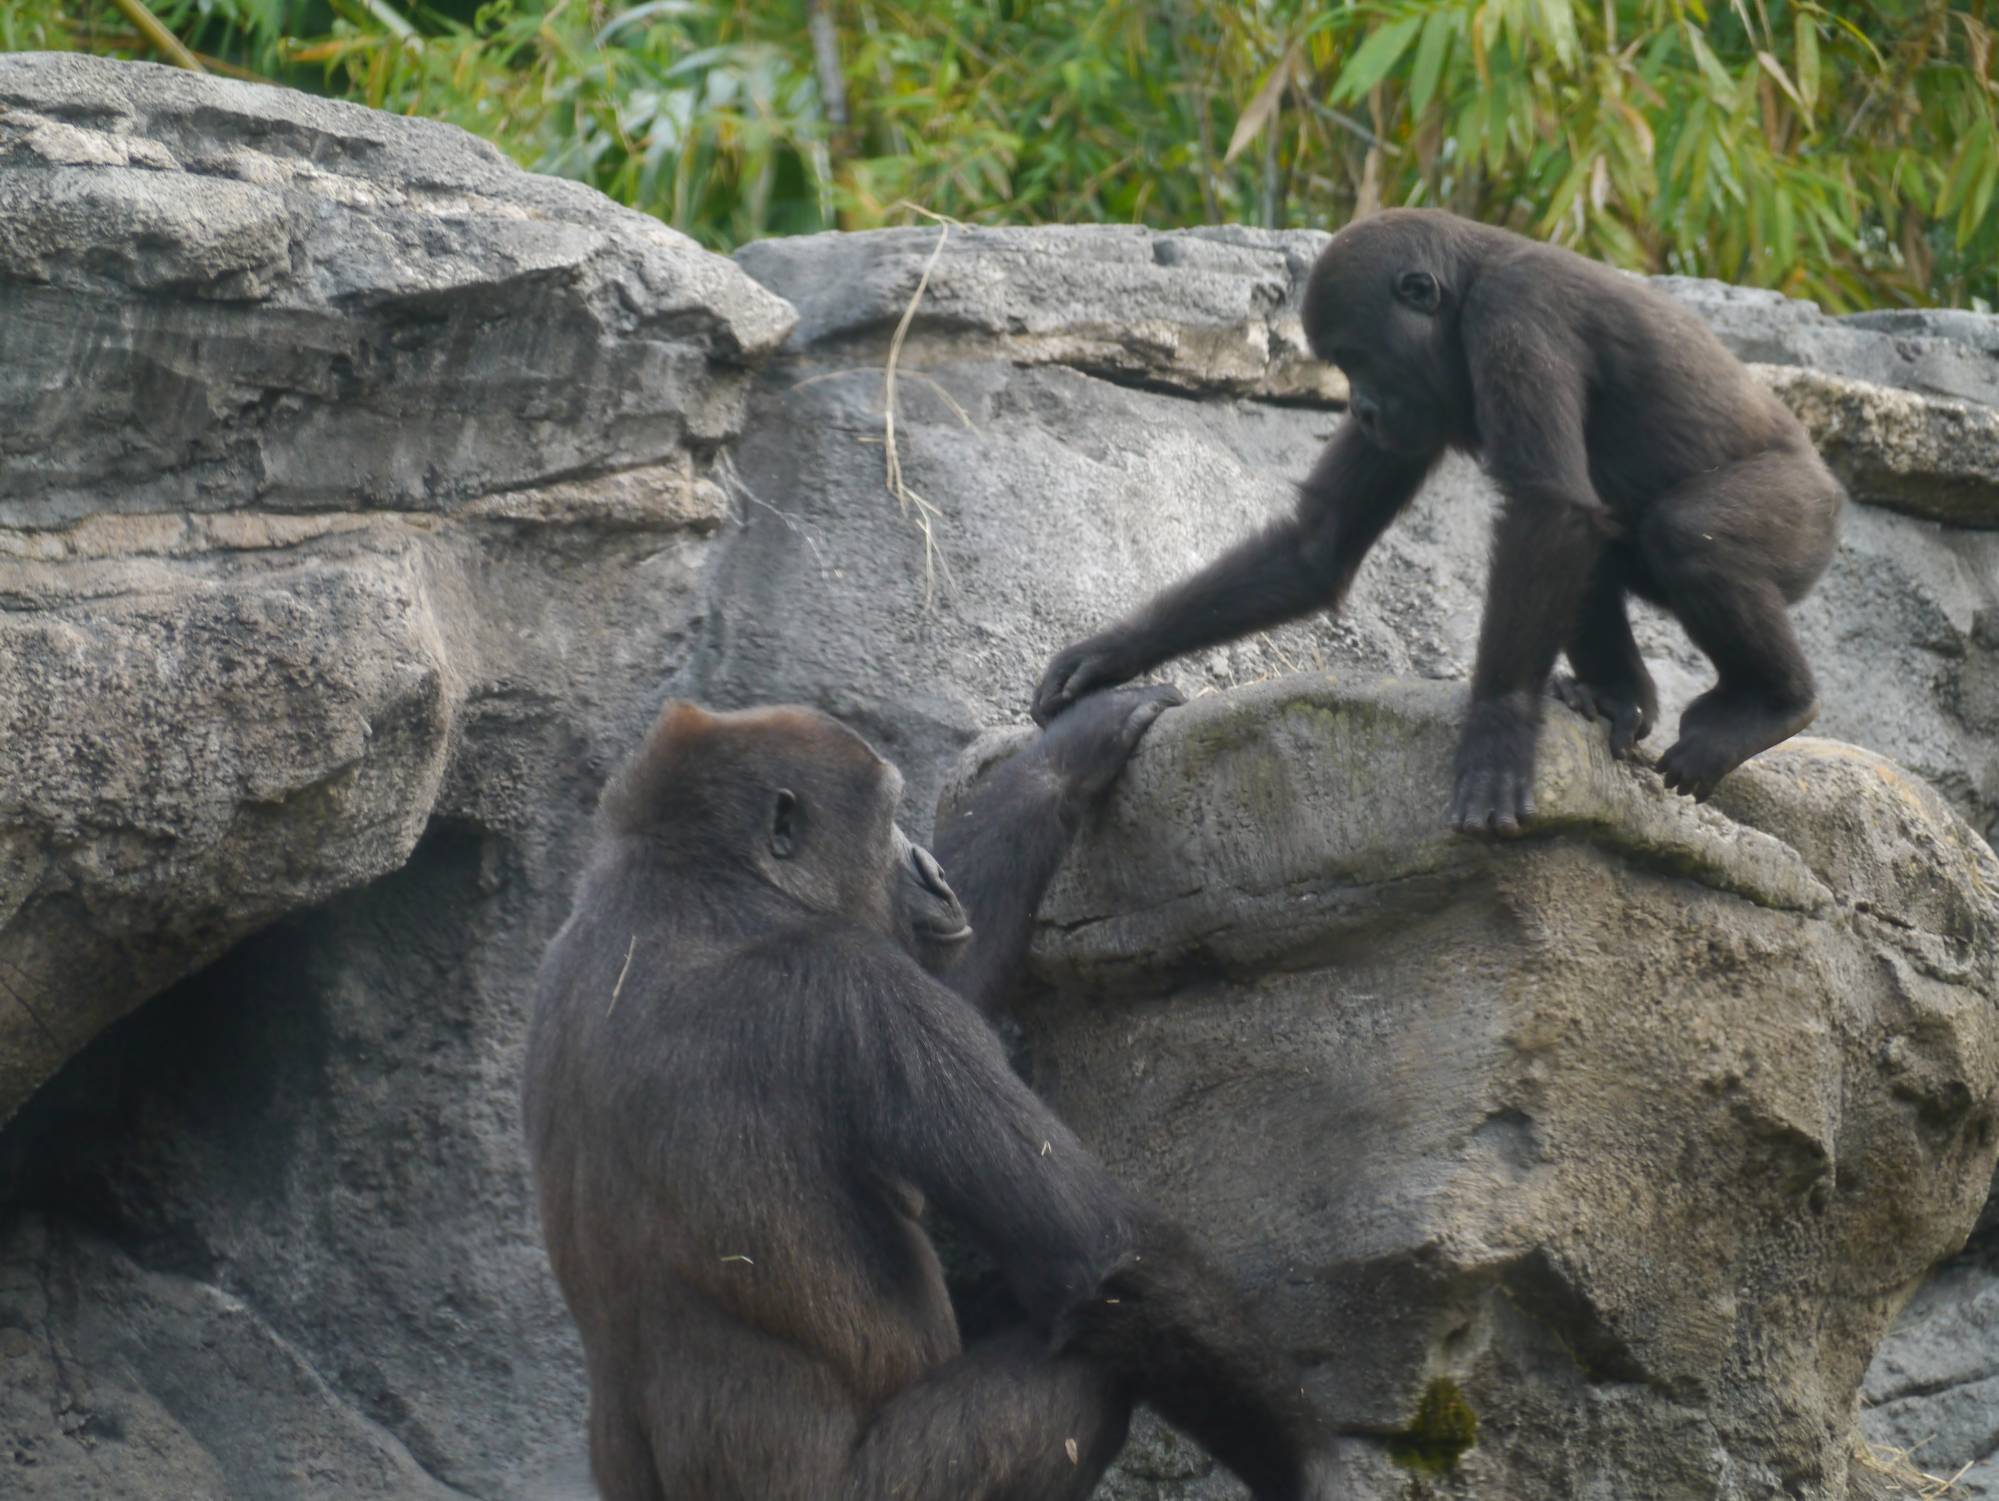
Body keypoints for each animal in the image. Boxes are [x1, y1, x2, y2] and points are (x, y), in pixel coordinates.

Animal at [519, 691, 1327, 1501]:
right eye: (887, 819)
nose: (931, 869)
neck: (688, 880)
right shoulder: (860, 984)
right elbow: (1101, 1254)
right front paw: (1307, 1462)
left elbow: (957, 978)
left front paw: (1065, 755)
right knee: (1086, 1376)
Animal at [1039, 209, 1847, 839]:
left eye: (1356, 356)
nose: (1361, 407)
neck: (1469, 279)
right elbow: (1318, 543)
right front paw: (1112, 651)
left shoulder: (1515, 314)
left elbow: (1546, 505)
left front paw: (1496, 726)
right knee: (1597, 547)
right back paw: (1619, 694)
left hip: (1805, 517)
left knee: (1684, 533)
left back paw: (1772, 704)